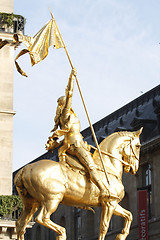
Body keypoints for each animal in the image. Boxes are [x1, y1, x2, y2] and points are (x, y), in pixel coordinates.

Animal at [14, 129, 142, 240]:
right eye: (138, 146)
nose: (135, 168)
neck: (107, 168)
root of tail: (24, 170)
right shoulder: (109, 203)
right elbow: (104, 227)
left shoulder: (113, 204)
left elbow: (129, 215)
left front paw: (121, 236)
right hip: (52, 199)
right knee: (42, 218)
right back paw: (62, 232)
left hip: (31, 204)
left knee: (20, 225)